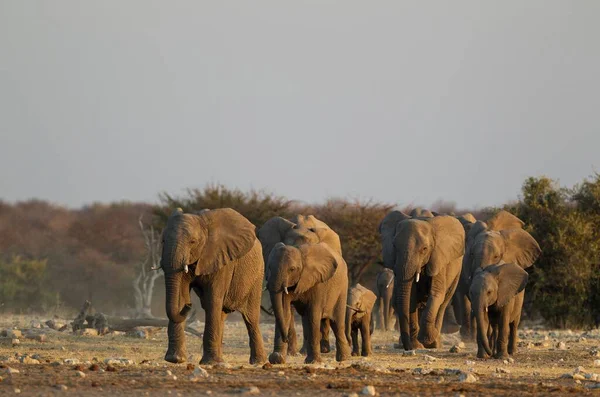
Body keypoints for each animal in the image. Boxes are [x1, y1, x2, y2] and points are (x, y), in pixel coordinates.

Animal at [159, 209, 264, 364]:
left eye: (192, 242)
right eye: (163, 241)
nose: (190, 305)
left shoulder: (222, 259)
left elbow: (212, 300)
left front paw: (210, 363)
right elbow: (180, 297)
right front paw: (175, 359)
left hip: (257, 274)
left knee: (251, 317)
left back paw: (258, 362)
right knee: (221, 314)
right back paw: (221, 360)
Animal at [380, 210, 464, 350]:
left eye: (424, 249)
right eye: (394, 246)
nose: (407, 348)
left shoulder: (438, 259)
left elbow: (436, 294)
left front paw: (427, 340)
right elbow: (411, 298)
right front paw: (416, 346)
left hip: (457, 272)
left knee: (443, 303)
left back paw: (435, 342)